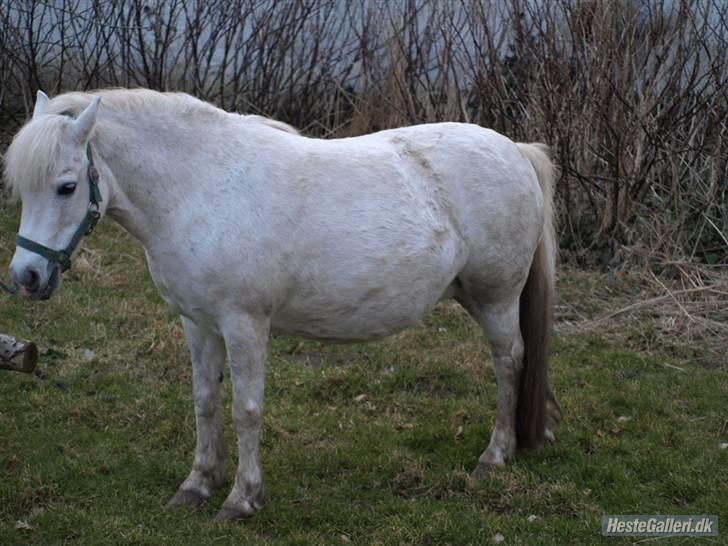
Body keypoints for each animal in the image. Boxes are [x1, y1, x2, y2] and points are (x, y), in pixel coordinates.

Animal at [5, 89, 560, 520]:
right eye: (24, 188)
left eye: (67, 186)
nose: (25, 278)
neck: (197, 187)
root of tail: (515, 150)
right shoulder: (197, 323)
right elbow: (205, 401)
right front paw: (197, 485)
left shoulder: (244, 324)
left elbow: (246, 408)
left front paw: (241, 499)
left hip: (495, 298)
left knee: (509, 362)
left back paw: (495, 456)